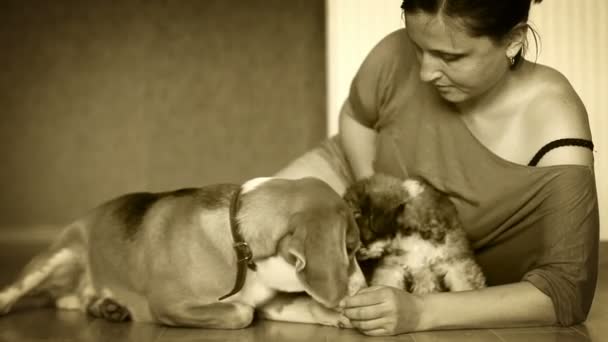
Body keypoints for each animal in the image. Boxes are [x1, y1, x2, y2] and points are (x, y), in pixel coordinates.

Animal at [0, 178, 366, 328]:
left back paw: (106, 307)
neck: (239, 245)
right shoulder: (168, 304)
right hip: (53, 258)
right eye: (350, 248)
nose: (363, 288)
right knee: (13, 292)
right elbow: (242, 312)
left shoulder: (271, 301)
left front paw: (343, 316)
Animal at [344, 174, 486, 294]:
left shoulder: (454, 261)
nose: (356, 250)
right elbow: (387, 283)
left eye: (357, 215)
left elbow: (465, 286)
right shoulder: (395, 267)